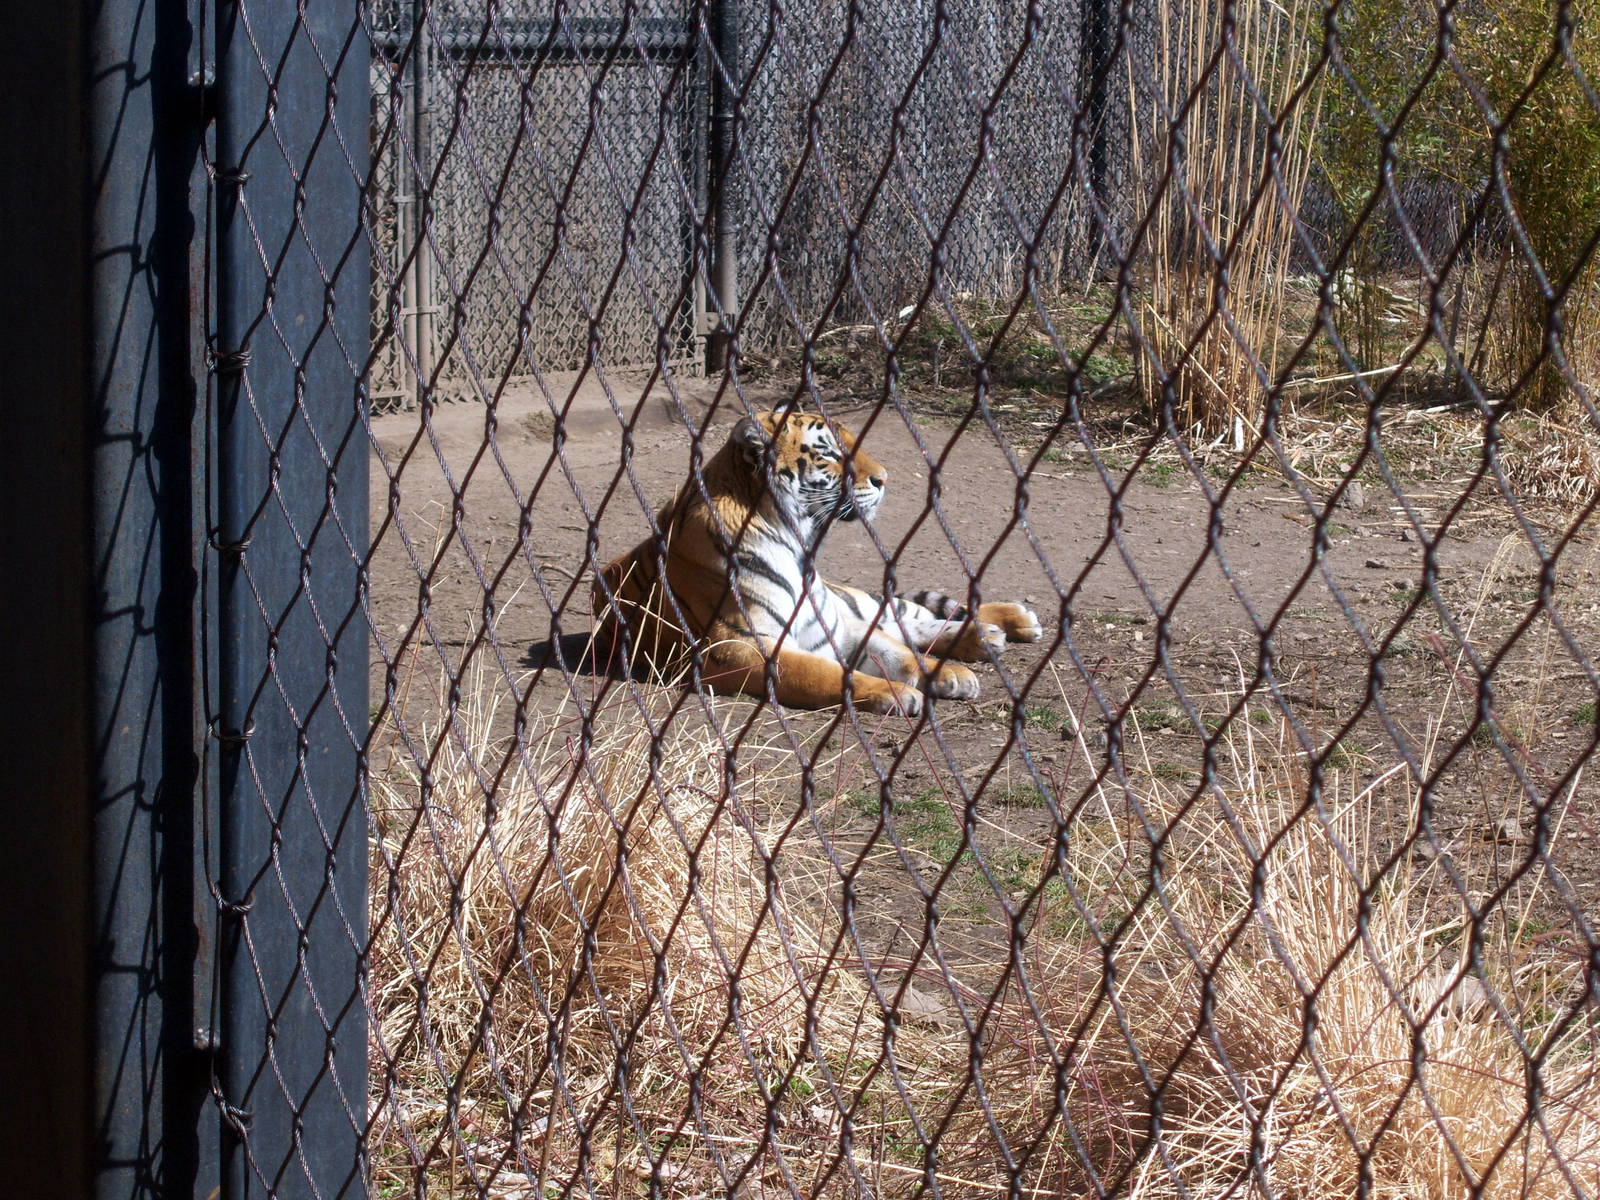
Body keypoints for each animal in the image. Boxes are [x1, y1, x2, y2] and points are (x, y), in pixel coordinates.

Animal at [590, 410, 1043, 715]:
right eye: (832, 455)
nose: (885, 478)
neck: (796, 540)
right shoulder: (738, 648)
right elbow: (825, 673)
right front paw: (893, 693)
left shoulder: (835, 623)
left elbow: (898, 652)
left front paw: (947, 674)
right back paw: (989, 635)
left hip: (851, 601)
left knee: (904, 614)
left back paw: (1008, 622)